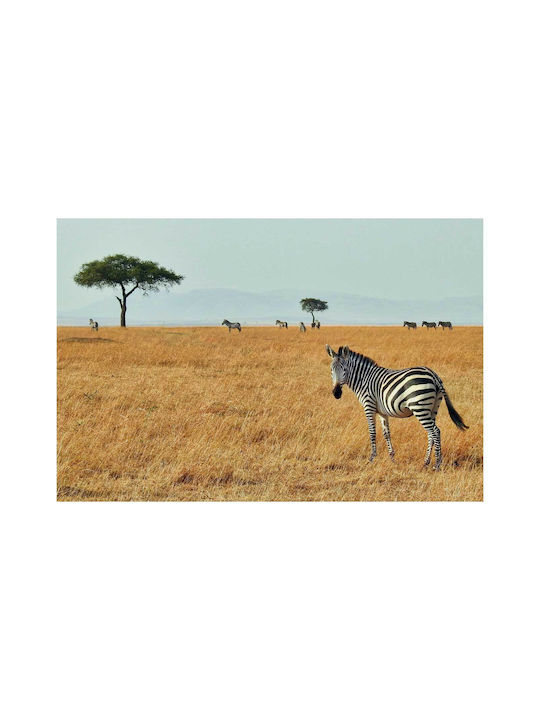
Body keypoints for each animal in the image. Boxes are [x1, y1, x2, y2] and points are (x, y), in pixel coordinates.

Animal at [325, 344, 468, 470]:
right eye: (331, 370)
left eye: (344, 369)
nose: (336, 393)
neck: (363, 379)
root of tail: (433, 374)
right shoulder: (382, 412)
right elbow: (386, 433)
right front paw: (392, 458)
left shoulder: (369, 406)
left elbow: (372, 432)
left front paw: (371, 458)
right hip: (433, 408)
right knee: (431, 433)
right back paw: (426, 462)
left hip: (419, 407)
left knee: (435, 431)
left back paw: (437, 464)